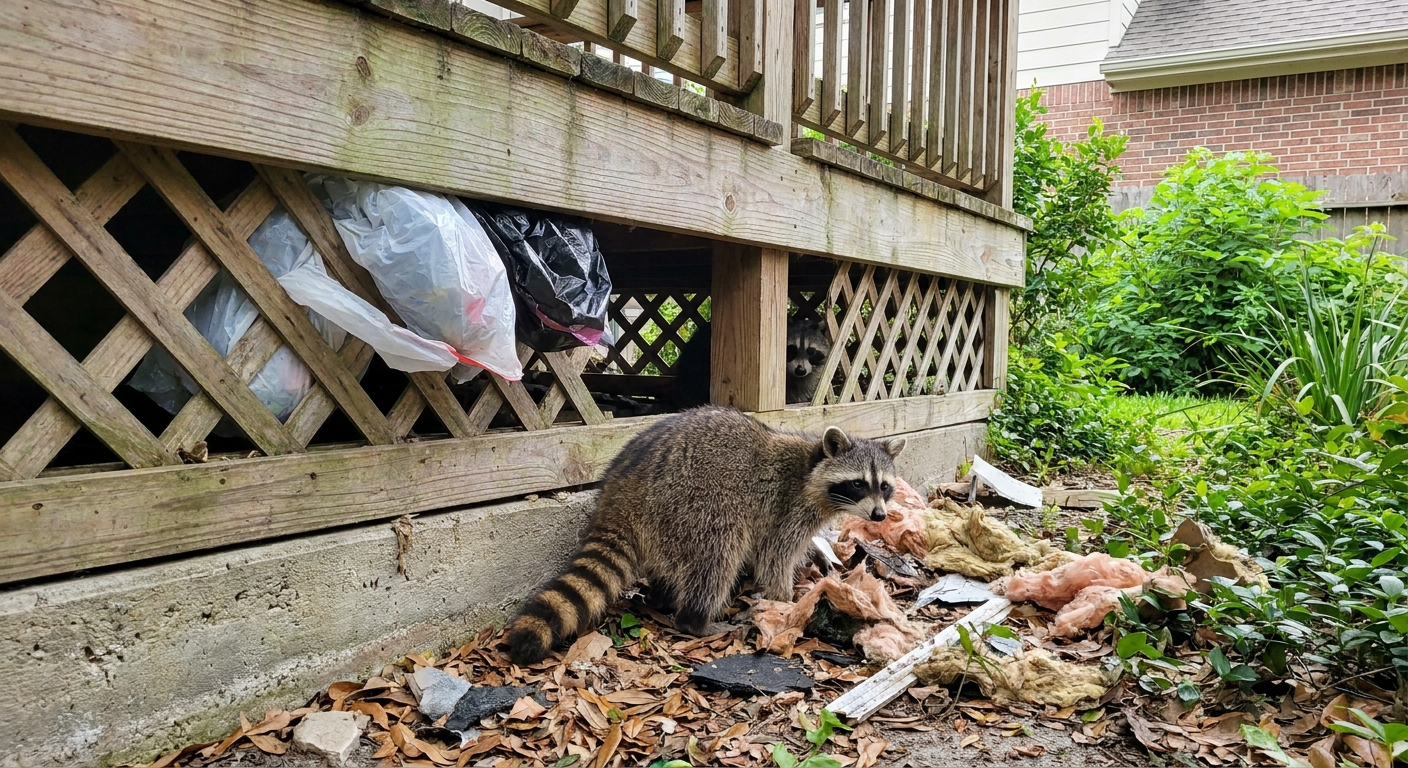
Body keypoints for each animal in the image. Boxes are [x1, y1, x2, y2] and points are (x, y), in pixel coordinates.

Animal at [504, 406, 905, 665]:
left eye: (884, 486)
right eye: (858, 483)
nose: (879, 515)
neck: (811, 467)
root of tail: (621, 490)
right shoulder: (786, 507)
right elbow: (773, 556)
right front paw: (786, 600)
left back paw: (663, 597)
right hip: (695, 501)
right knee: (718, 553)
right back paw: (697, 619)